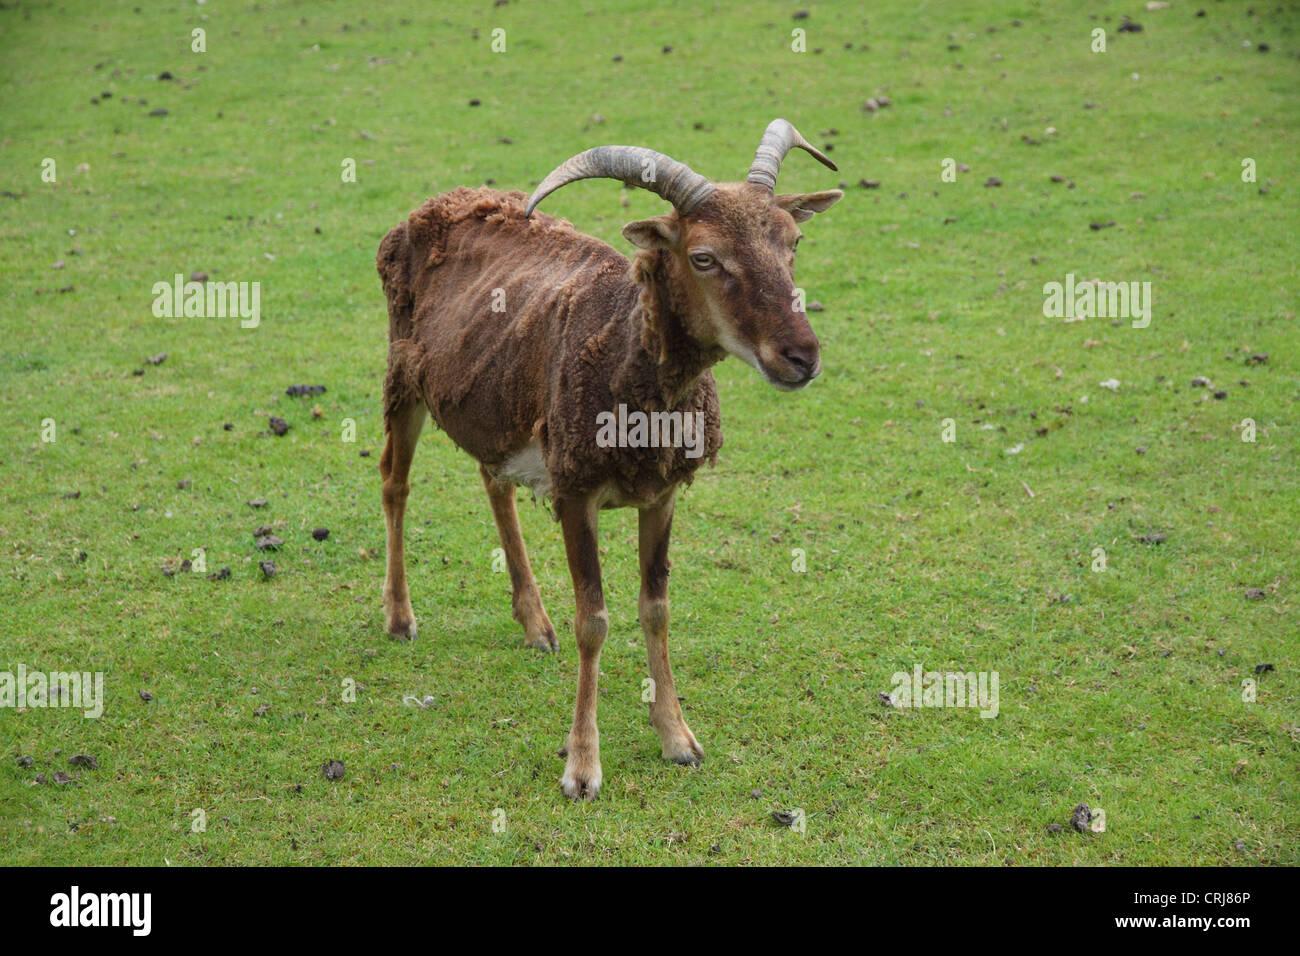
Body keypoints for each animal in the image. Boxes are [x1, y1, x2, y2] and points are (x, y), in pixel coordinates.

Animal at [377, 117, 842, 801]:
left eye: (794, 242)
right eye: (703, 257)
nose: (801, 357)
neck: (626, 357)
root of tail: (440, 201)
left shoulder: (663, 495)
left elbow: (657, 609)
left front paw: (679, 741)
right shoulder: (576, 491)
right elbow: (593, 621)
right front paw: (581, 768)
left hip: (496, 407)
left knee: (493, 482)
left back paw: (535, 626)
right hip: (403, 374)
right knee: (394, 482)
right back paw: (401, 619)